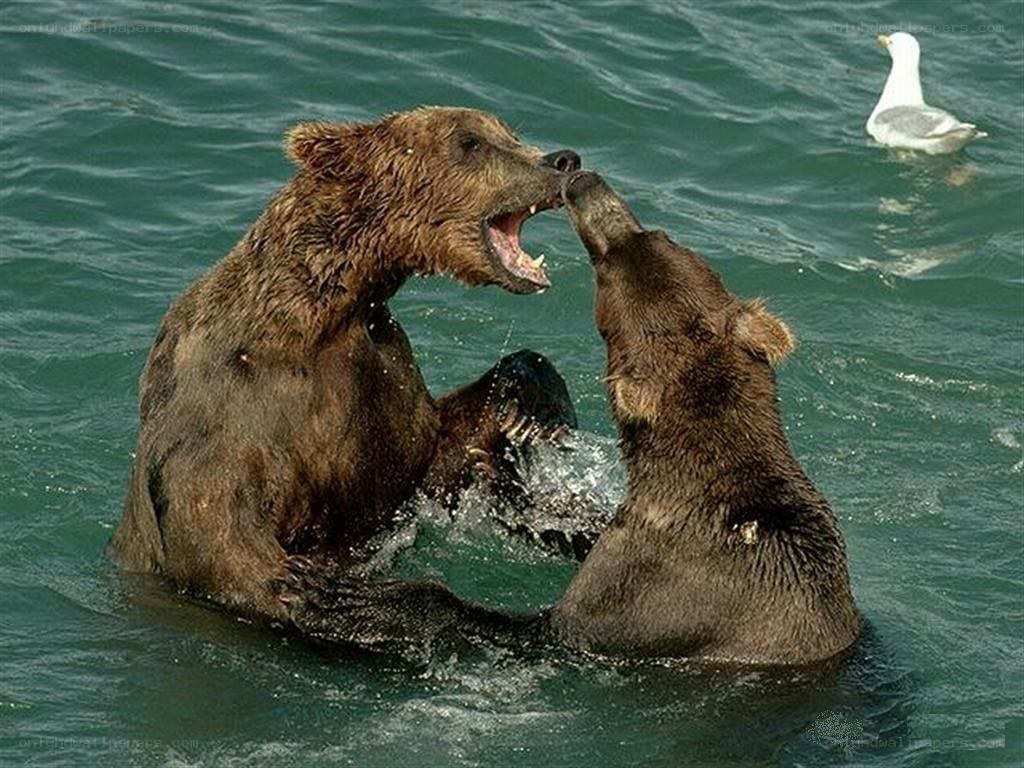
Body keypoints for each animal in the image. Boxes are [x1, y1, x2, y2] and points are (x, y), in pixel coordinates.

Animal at [107, 107, 584, 628]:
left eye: (510, 134)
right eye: (470, 143)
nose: (564, 159)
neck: (322, 317)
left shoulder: (381, 379)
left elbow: (438, 452)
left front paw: (528, 409)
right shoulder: (225, 422)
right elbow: (234, 551)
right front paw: (333, 595)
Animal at [294, 171, 861, 666]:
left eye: (604, 269)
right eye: (661, 234)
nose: (586, 183)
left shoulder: (658, 585)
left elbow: (540, 627)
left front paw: (350, 601)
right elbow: (572, 527)